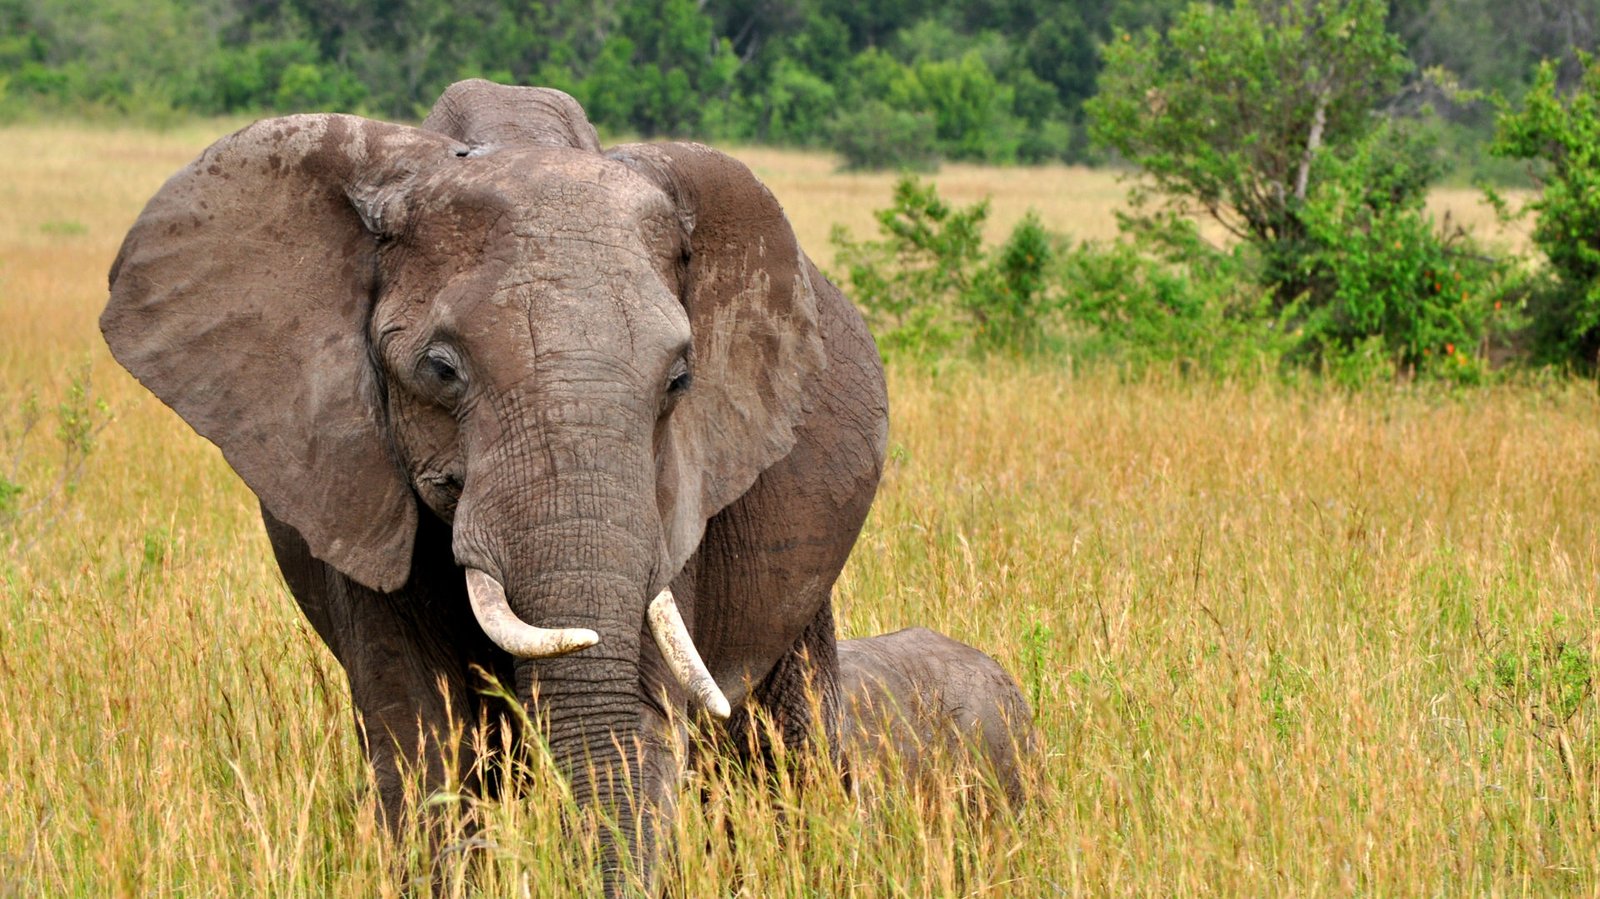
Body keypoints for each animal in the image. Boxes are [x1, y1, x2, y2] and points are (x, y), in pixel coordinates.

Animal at [100, 78, 889, 883]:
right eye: (441, 370)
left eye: (679, 380)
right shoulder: (355, 478)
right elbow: (420, 730)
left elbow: (641, 722)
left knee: (787, 746)